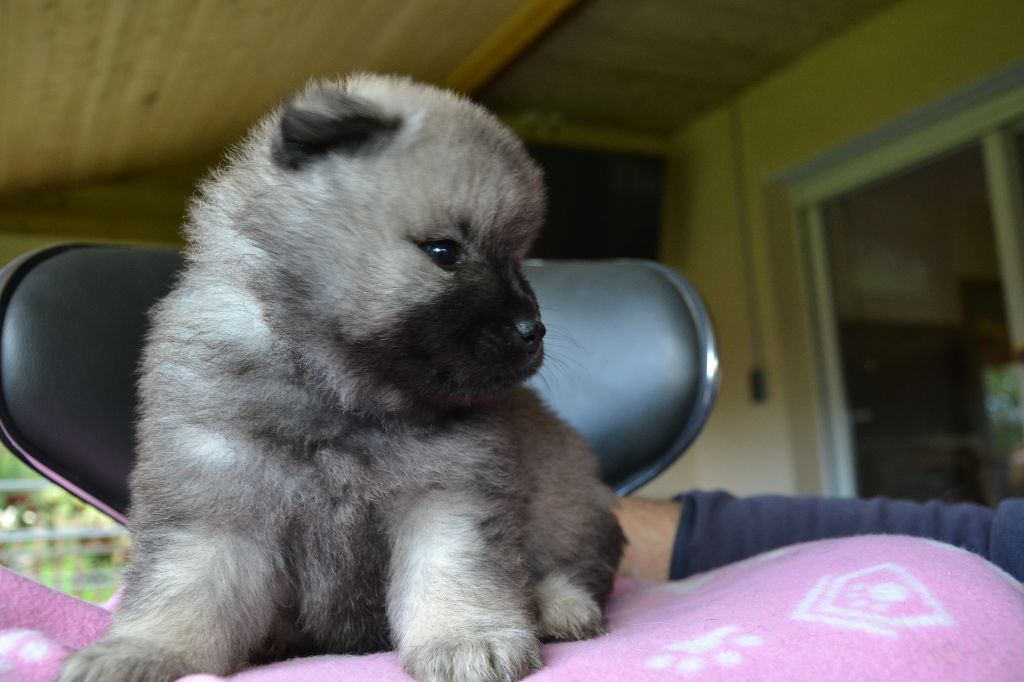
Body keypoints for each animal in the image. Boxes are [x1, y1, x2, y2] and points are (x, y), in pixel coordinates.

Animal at [58, 74, 624, 682]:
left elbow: (452, 570)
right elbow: (185, 589)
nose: (531, 330)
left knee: (581, 568)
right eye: (444, 251)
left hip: (571, 503)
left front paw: (467, 639)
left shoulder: (447, 493)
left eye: (520, 258)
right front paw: (144, 652)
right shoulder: (217, 499)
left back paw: (557, 604)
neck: (336, 392)